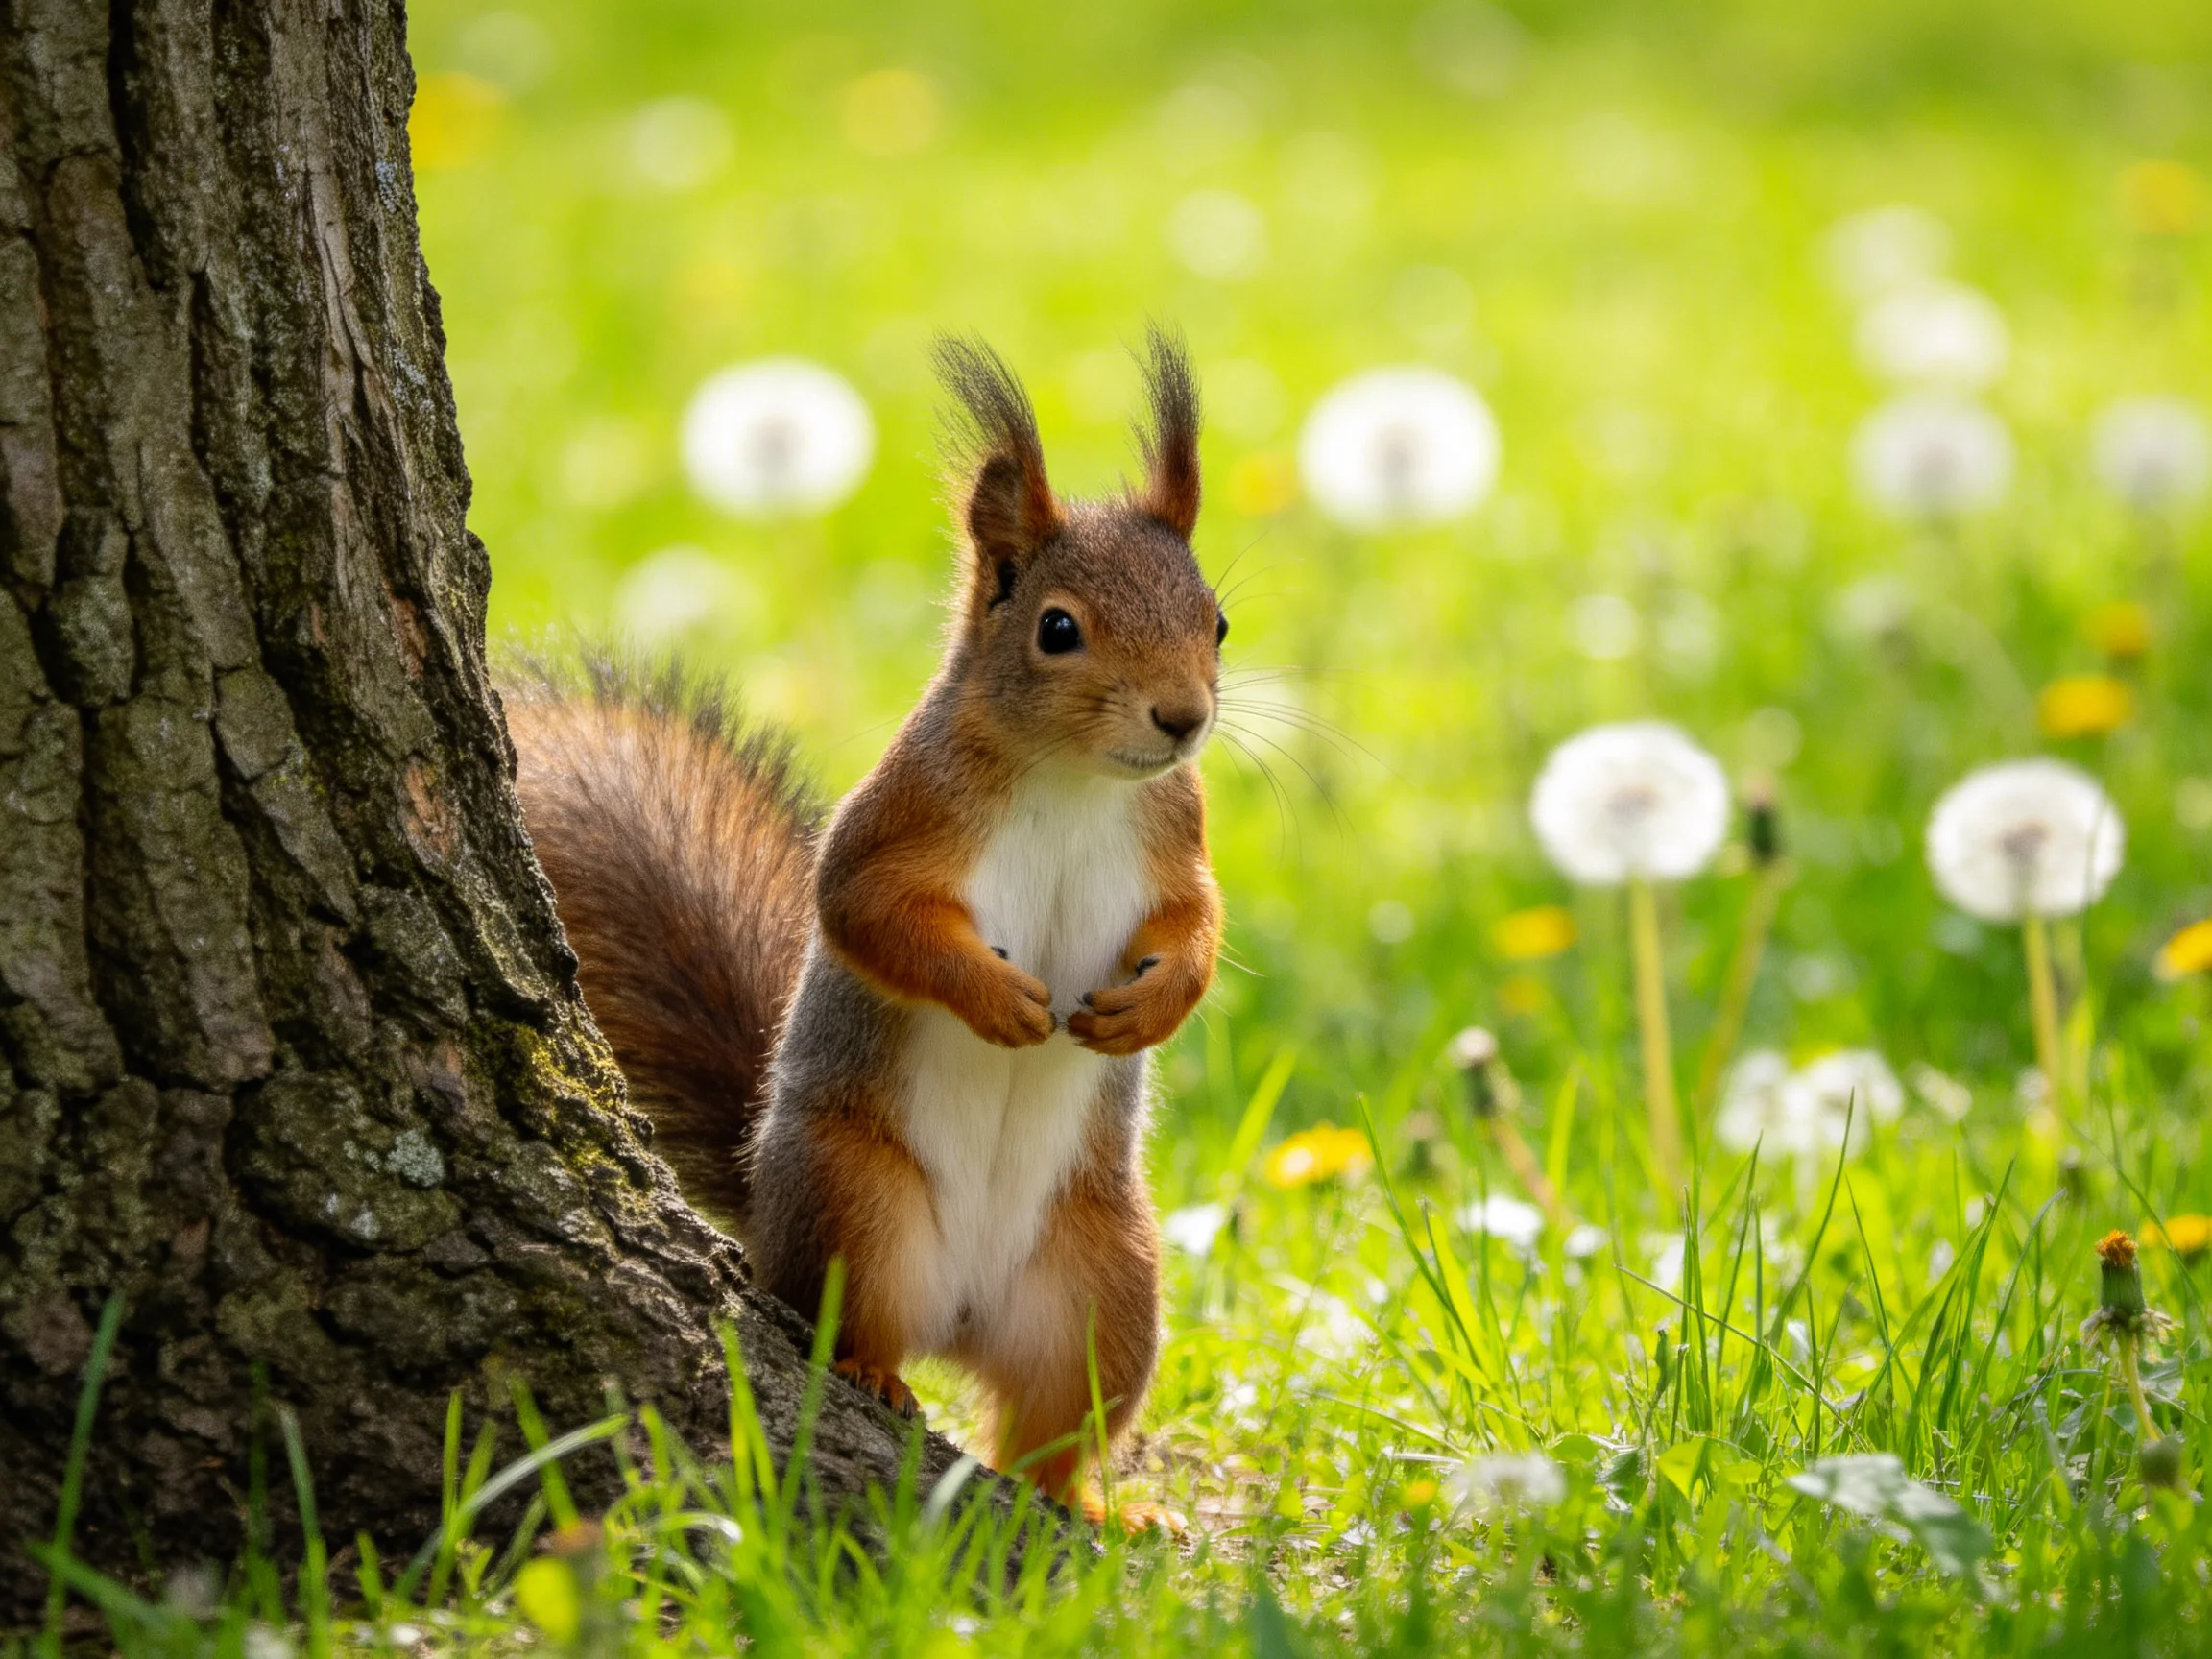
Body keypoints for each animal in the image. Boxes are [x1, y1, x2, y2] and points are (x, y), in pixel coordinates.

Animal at [506, 330, 1225, 1515]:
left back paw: (1090, 1507)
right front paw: (999, 1001)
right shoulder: (899, 817)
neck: (1075, 779)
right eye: (1058, 629)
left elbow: (1197, 922)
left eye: (1218, 620)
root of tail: (960, 1319)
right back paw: (875, 1374)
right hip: (858, 1203)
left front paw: (1155, 1006)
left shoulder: (1176, 830)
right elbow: (864, 913)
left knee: (1053, 1429)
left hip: (1107, 1282)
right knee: (850, 1323)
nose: (1184, 718)